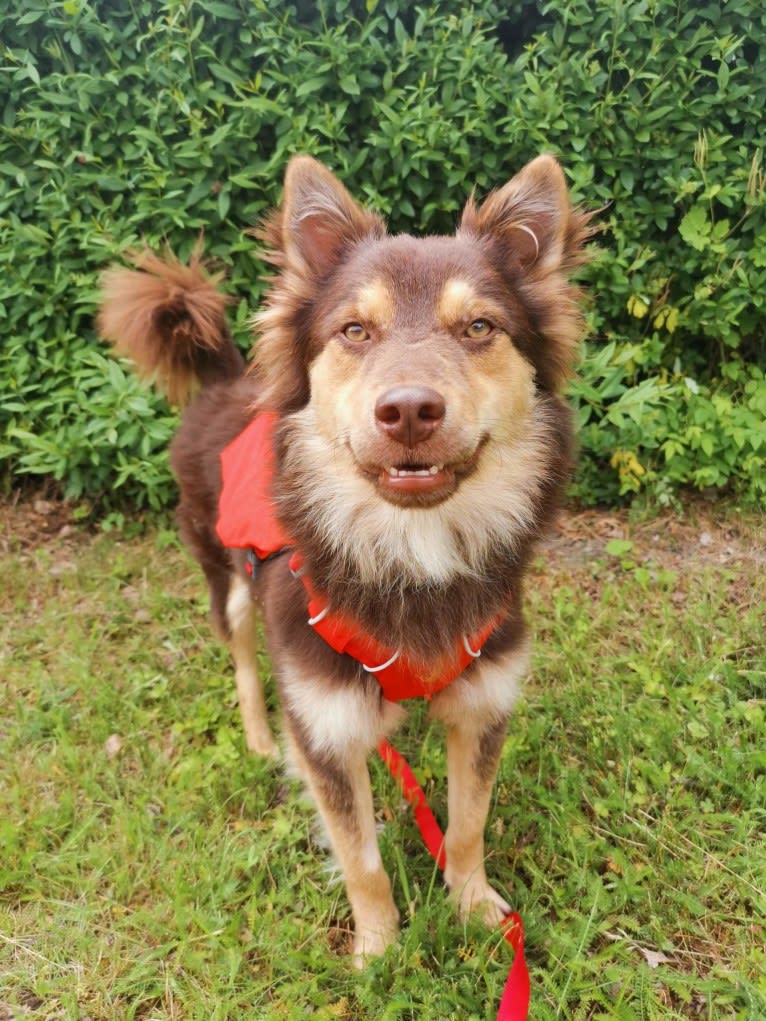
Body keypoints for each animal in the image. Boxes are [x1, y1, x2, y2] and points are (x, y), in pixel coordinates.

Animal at [99, 153, 592, 963]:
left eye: (480, 327)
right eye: (355, 329)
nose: (409, 410)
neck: (413, 550)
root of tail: (227, 377)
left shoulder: (484, 699)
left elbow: (467, 823)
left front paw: (474, 910)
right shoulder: (324, 724)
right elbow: (360, 854)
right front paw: (380, 952)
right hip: (226, 579)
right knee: (243, 661)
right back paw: (260, 739)